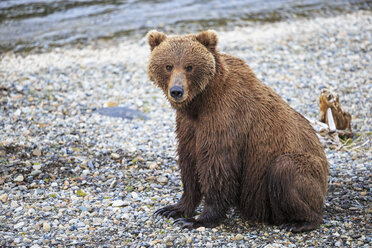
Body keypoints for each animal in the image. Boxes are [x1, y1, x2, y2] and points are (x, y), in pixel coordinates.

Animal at [147, 30, 330, 232]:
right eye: (168, 66)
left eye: (189, 66)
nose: (177, 91)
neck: (201, 101)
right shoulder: (188, 126)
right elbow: (189, 163)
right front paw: (173, 209)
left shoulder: (225, 118)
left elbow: (217, 166)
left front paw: (198, 220)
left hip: (308, 172)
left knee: (285, 169)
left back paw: (300, 222)